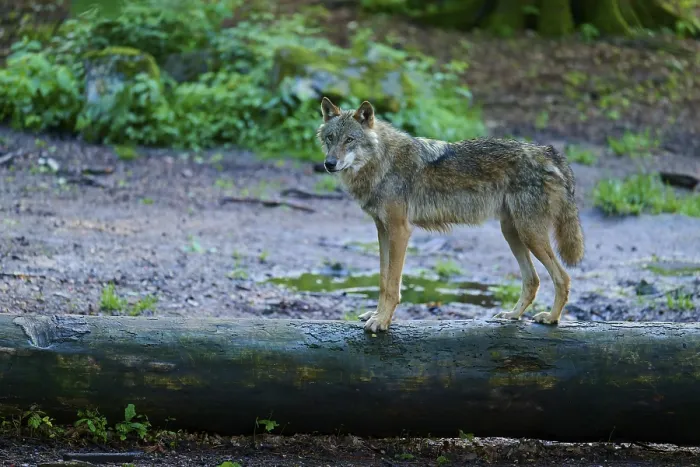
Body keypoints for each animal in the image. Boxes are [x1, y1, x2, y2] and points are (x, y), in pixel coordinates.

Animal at [316, 97, 585, 333]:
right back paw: (513, 315)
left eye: (350, 140)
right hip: (512, 233)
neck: (382, 162)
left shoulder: (399, 230)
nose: (329, 164)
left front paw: (381, 322)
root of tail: (548, 152)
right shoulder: (382, 230)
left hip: (529, 234)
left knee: (563, 278)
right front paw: (376, 315)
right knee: (533, 280)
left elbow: (392, 285)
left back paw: (551, 318)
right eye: (331, 138)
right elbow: (382, 280)